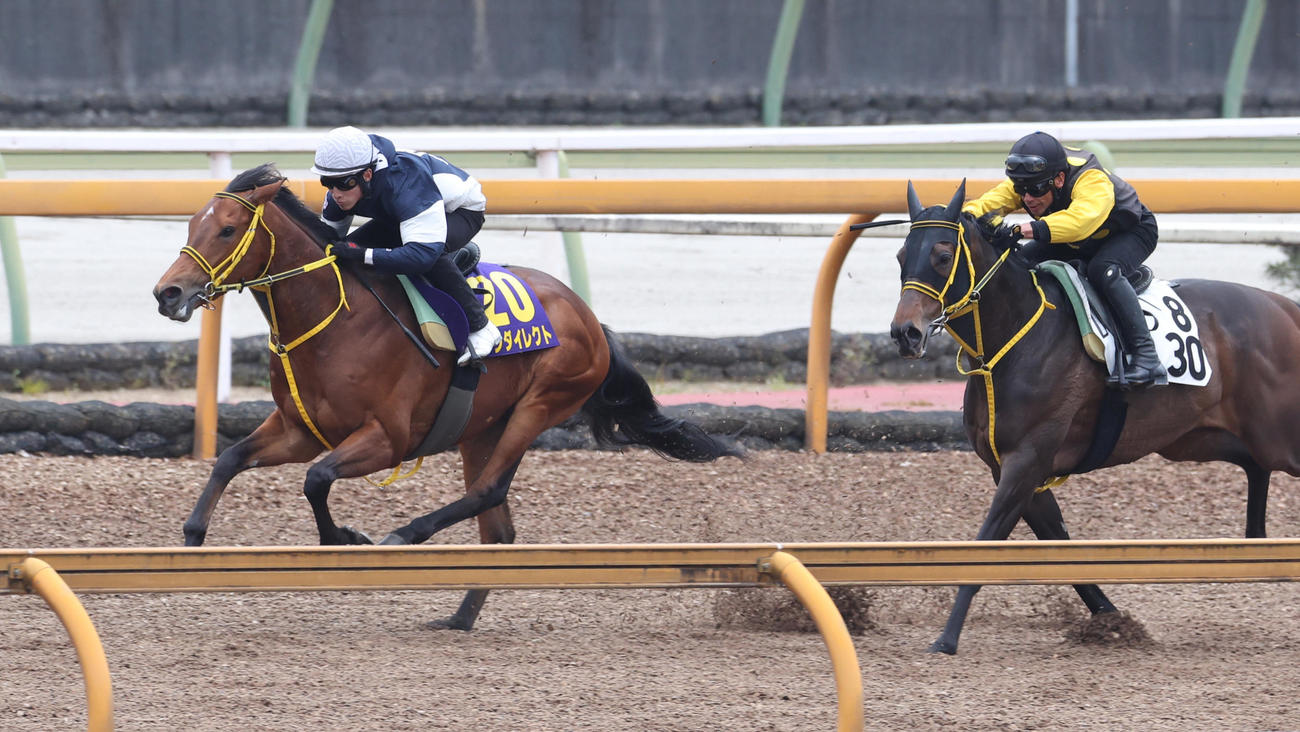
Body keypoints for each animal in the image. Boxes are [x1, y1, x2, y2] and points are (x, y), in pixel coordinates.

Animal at [153, 163, 741, 630]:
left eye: (227, 230)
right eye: (191, 225)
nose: (168, 293)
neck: (338, 319)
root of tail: (590, 317)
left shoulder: (387, 439)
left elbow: (316, 479)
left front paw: (347, 538)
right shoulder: (300, 430)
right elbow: (230, 459)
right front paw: (192, 537)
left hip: (541, 403)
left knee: (487, 492)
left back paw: (405, 535)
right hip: (482, 428)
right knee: (498, 528)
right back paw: (458, 618)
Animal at [889, 180, 1300, 655]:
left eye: (941, 256)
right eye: (901, 256)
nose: (905, 333)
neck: (1014, 338)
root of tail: (1286, 309)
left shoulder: (1027, 460)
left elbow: (987, 543)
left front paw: (947, 638)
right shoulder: (1012, 468)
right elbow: (1058, 544)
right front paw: (1113, 621)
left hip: (1279, 438)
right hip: (1203, 440)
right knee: (1254, 467)